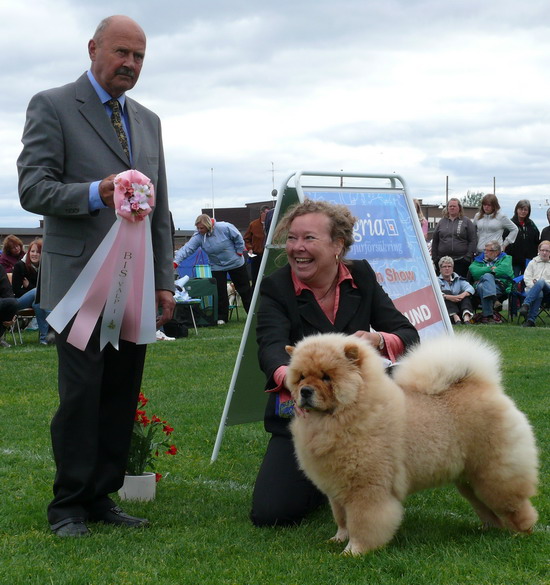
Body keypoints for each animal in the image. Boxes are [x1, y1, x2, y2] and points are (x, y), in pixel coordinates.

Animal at [286, 330, 540, 556]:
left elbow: (362, 523)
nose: (305, 391)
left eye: (327, 377)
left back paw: (520, 532)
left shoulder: (366, 489)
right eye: (301, 377)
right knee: (486, 506)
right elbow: (342, 519)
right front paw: (338, 539)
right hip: (469, 479)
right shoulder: (337, 488)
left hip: (494, 472)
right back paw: (490, 529)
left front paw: (354, 551)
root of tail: (483, 386)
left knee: (514, 503)